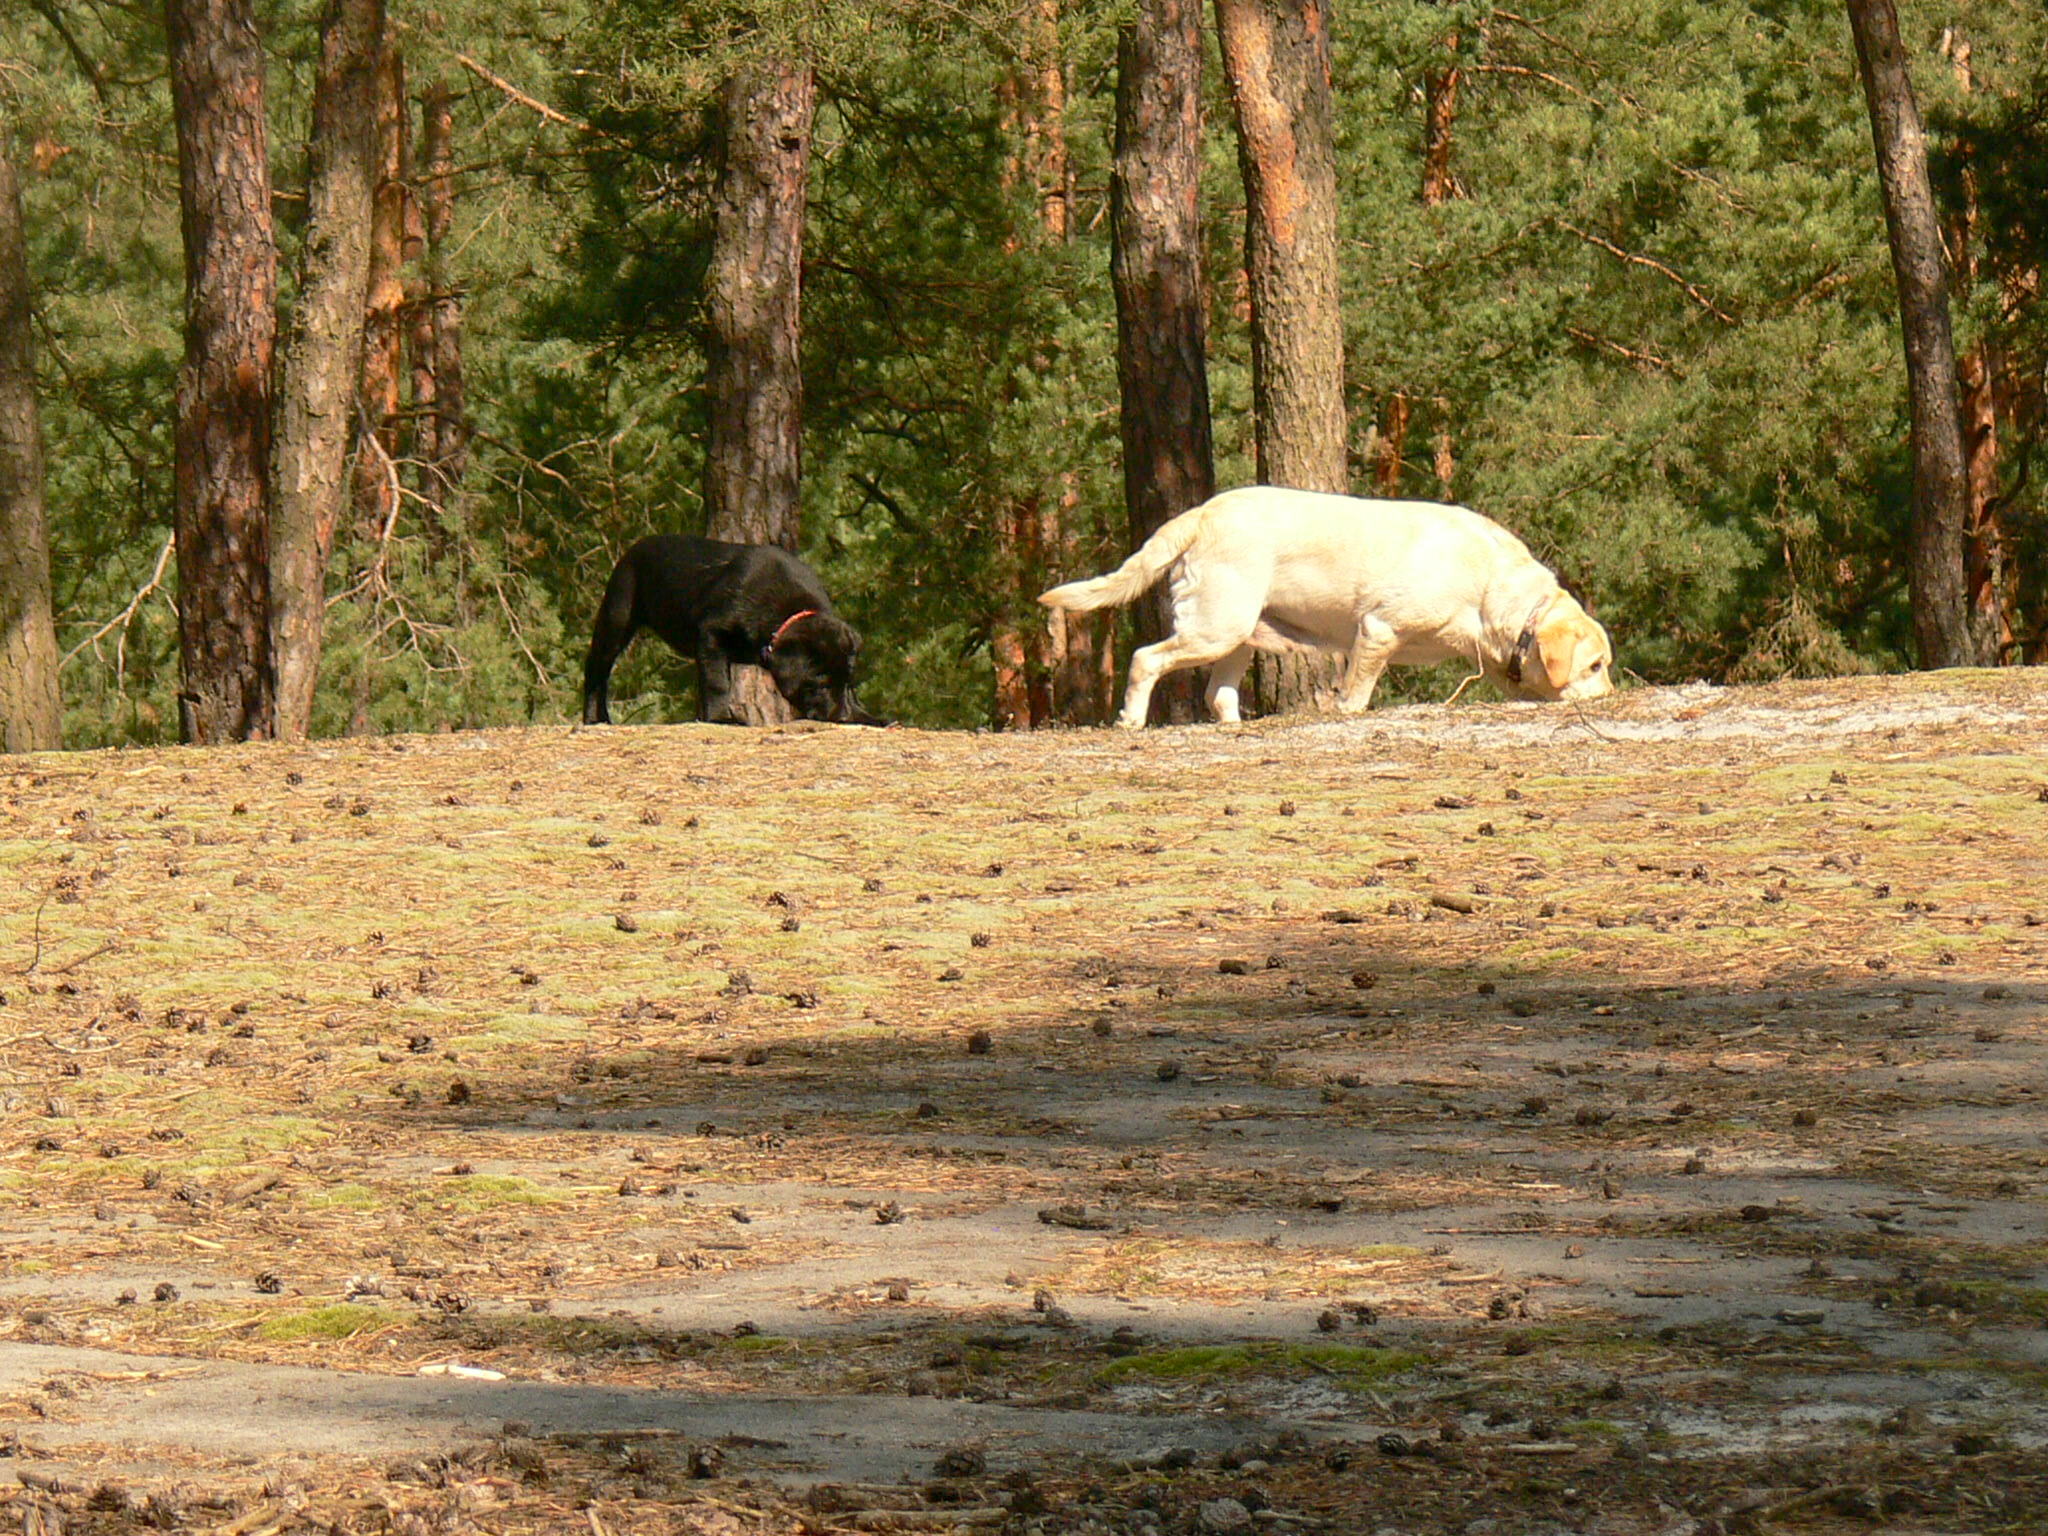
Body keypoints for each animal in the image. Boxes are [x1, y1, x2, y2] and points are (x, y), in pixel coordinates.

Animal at [585, 536, 888, 729]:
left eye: (847, 682)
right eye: (821, 684)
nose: (842, 717)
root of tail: (631, 551)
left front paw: (867, 715)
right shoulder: (711, 634)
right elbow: (717, 682)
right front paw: (722, 717)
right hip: (616, 620)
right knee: (596, 673)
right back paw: (594, 718)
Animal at [1040, 493, 1613, 733]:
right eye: (1594, 666)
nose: (1610, 697)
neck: (1492, 585)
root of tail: (1201, 512)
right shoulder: (1378, 631)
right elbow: (1356, 694)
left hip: (1237, 637)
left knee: (1216, 694)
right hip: (1213, 627)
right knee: (1145, 659)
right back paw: (1131, 720)